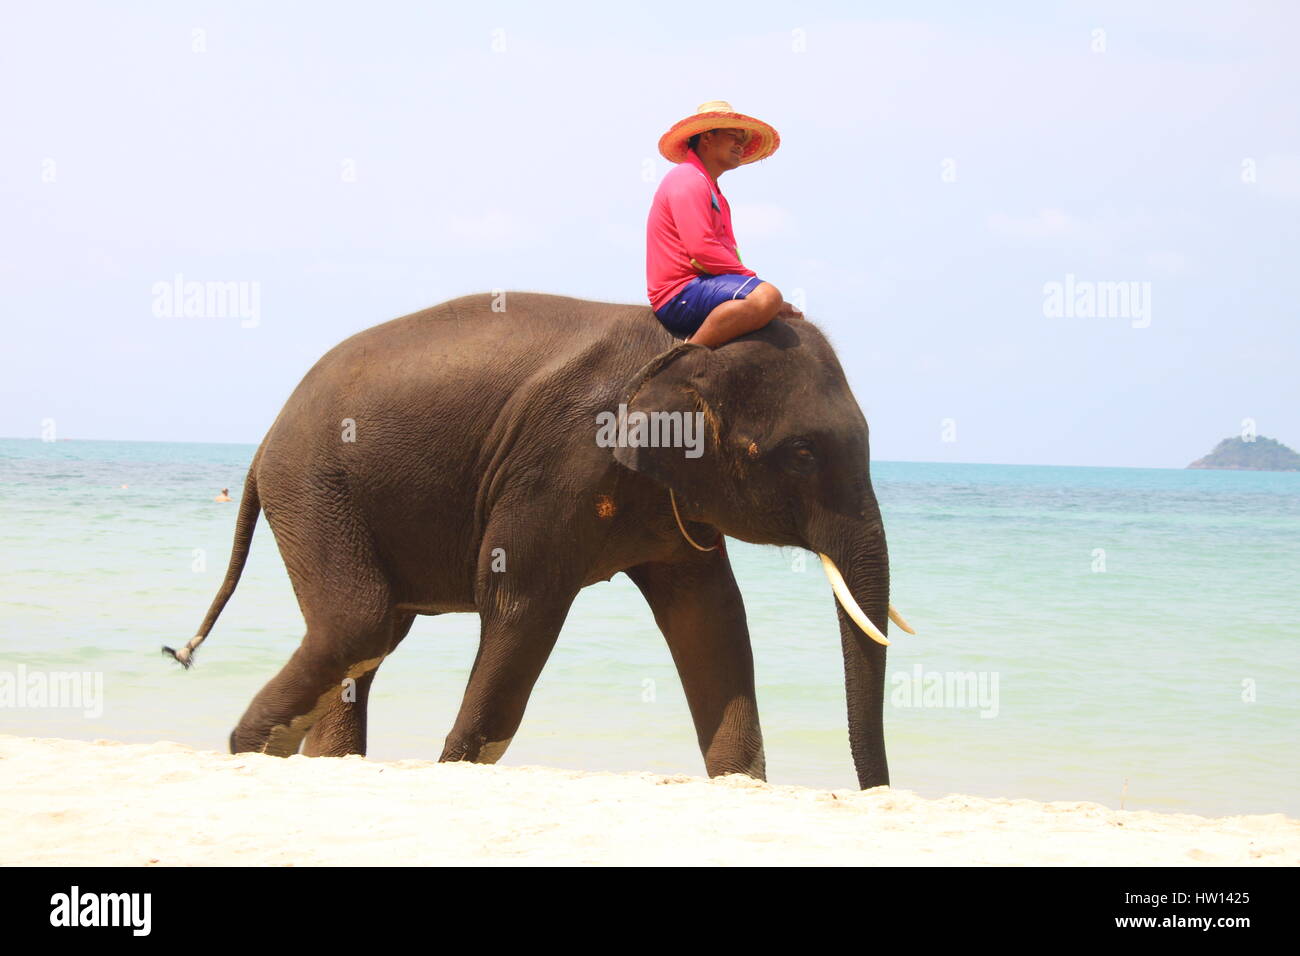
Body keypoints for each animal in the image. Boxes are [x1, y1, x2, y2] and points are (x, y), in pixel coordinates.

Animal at [165, 292, 913, 789]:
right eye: (804, 454)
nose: (874, 793)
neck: (680, 346)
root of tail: (265, 439)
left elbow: (711, 618)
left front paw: (738, 784)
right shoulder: (560, 462)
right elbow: (519, 605)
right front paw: (455, 767)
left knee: (369, 640)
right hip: (316, 486)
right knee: (361, 623)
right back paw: (246, 751)